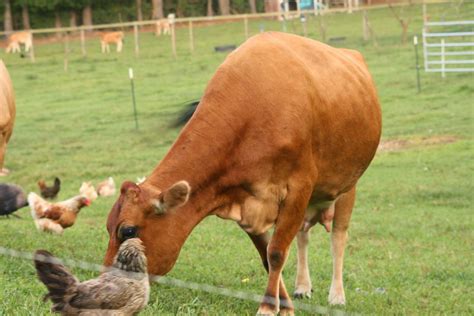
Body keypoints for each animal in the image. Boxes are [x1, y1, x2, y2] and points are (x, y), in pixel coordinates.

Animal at [103, 31, 382, 314]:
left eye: (128, 231)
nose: (107, 283)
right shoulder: (246, 201)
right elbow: (267, 255)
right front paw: (284, 305)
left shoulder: (298, 188)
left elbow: (277, 252)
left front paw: (268, 307)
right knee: (303, 235)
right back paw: (303, 286)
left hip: (347, 185)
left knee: (338, 237)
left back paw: (337, 294)